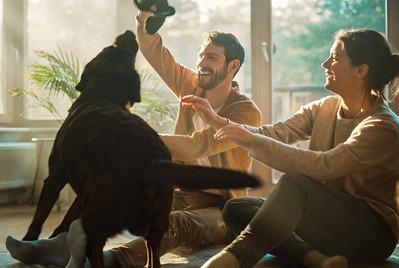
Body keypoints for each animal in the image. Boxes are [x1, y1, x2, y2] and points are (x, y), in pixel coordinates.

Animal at [19, 30, 260, 266]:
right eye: (121, 50)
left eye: (108, 48)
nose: (128, 32)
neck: (102, 94)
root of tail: (149, 162)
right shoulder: (83, 193)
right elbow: (68, 215)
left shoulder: (55, 177)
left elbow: (39, 217)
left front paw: (30, 239)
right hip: (155, 224)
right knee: (153, 255)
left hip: (101, 218)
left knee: (95, 249)